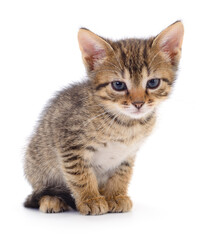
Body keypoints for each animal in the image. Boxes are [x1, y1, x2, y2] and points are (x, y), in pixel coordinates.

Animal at [23, 21, 184, 215]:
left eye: (153, 83)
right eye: (118, 85)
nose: (138, 103)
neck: (126, 124)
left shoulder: (128, 153)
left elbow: (122, 174)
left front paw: (115, 195)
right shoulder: (69, 143)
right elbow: (80, 175)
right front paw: (90, 198)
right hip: (36, 163)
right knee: (41, 190)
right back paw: (51, 199)